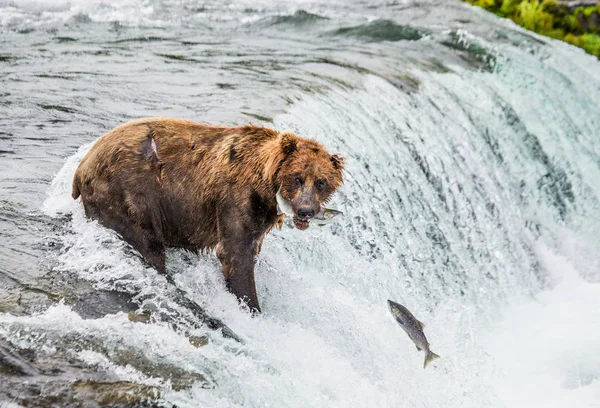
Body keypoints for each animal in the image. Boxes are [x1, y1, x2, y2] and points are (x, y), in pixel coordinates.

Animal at [72, 118, 344, 312]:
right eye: (297, 177)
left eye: (321, 182)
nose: (306, 211)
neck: (265, 185)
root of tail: (81, 167)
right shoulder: (235, 199)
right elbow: (236, 255)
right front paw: (251, 306)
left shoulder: (261, 219)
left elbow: (250, 249)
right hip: (129, 196)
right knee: (148, 245)